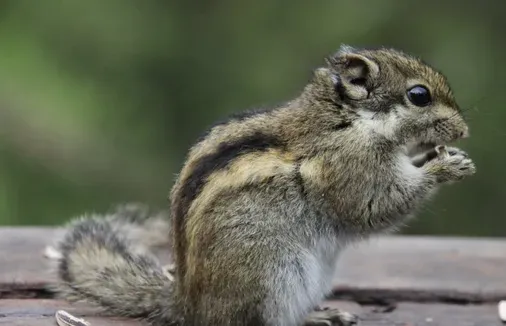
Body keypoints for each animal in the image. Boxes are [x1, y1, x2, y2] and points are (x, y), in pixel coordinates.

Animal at [46, 45, 474, 326]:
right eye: (419, 95)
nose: (464, 131)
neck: (351, 120)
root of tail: (188, 306)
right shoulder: (350, 167)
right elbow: (374, 207)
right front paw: (444, 167)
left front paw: (440, 156)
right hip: (273, 277)